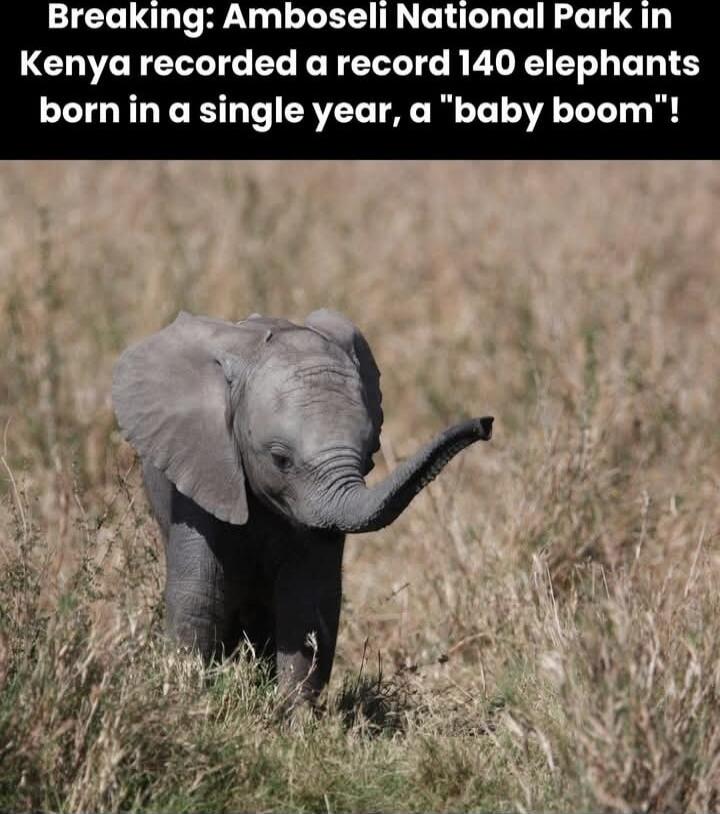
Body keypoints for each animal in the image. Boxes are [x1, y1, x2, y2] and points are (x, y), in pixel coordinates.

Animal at [112, 309, 493, 707]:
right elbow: (201, 595)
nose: (485, 424)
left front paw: (293, 717)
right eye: (280, 459)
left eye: (370, 455)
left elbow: (307, 600)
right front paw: (188, 701)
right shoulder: (203, 466)